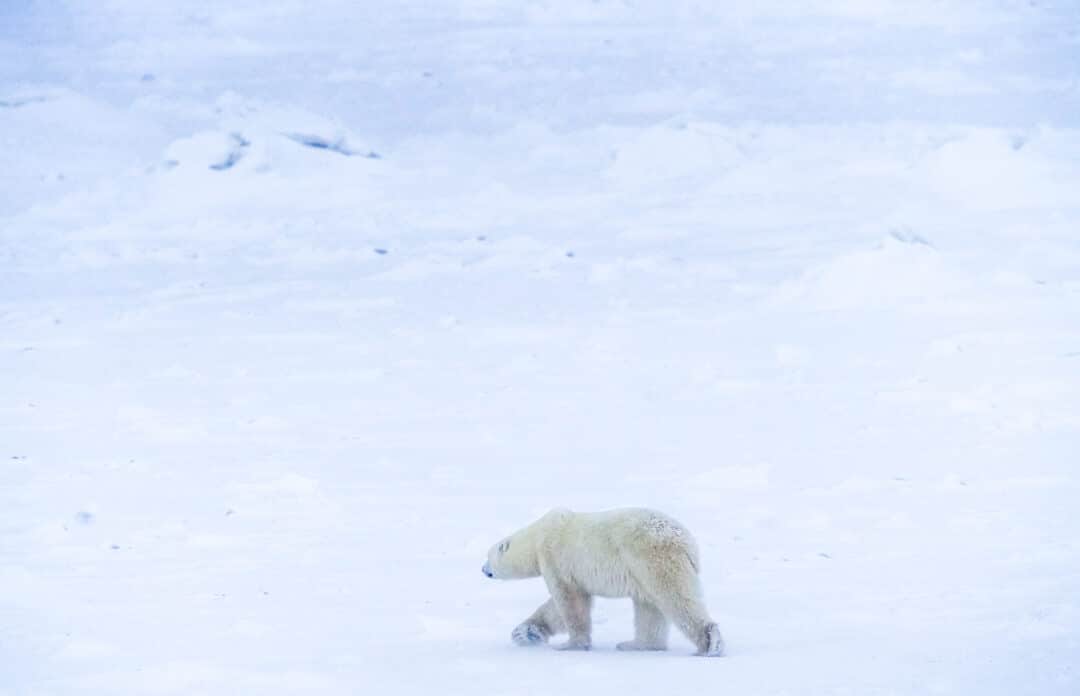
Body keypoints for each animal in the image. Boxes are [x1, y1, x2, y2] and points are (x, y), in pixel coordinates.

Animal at [482, 507, 724, 656]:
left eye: (488, 556)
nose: (484, 569)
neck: (538, 536)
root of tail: (688, 543)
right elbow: (557, 608)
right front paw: (524, 633)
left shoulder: (557, 559)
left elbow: (570, 603)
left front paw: (571, 645)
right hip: (642, 572)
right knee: (649, 607)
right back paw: (635, 645)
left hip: (653, 558)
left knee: (676, 598)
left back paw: (709, 643)